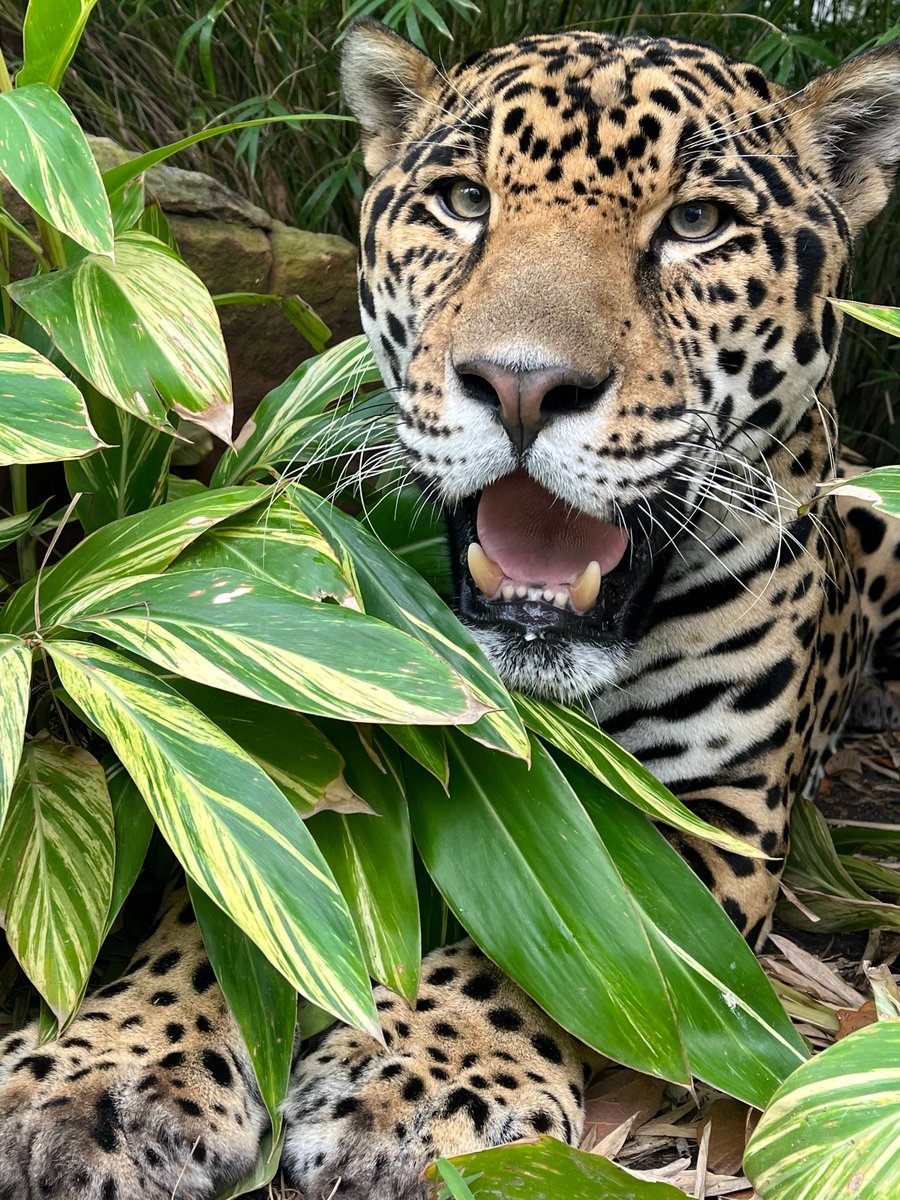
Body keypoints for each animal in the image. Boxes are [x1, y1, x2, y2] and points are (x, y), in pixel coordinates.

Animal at [1, 18, 899, 1200]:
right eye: (465, 201)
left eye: (697, 225)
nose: (521, 385)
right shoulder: (339, 740)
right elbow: (236, 910)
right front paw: (102, 1070)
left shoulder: (717, 810)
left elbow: (566, 940)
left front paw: (422, 1082)